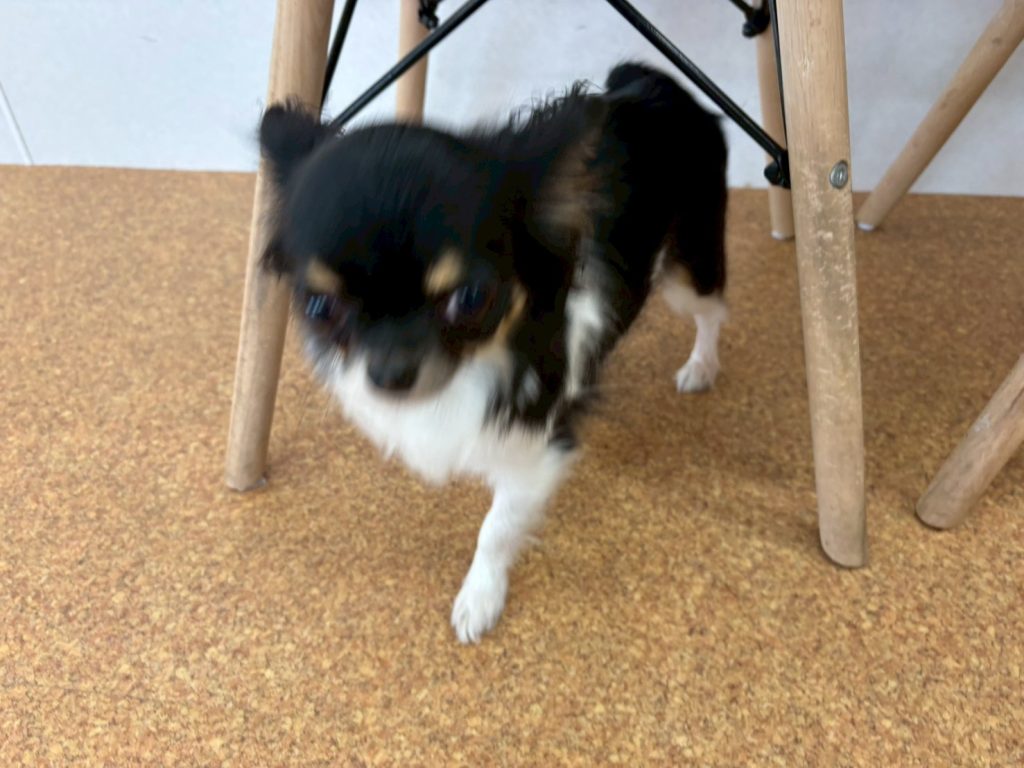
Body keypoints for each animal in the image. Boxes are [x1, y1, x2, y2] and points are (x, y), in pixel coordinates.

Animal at [258, 62, 728, 643]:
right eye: (319, 304)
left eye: (471, 297)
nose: (390, 374)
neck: (480, 362)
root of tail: (662, 85)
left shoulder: (539, 449)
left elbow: (496, 529)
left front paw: (479, 598)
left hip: (687, 271)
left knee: (712, 312)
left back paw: (701, 366)